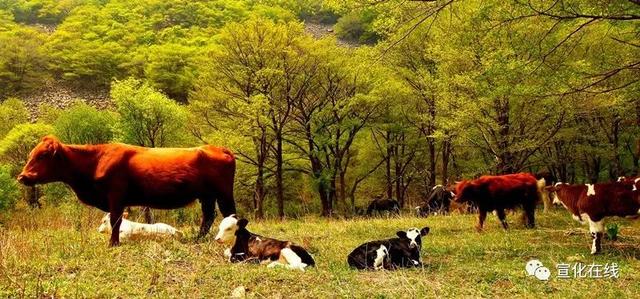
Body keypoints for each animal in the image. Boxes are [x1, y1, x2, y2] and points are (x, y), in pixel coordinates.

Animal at [18, 137, 238, 247]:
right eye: (30, 154)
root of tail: (219, 148)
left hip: (224, 193)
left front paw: (113, 243)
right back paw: (198, 239)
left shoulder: (116, 197)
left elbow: (116, 220)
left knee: (229, 215)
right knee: (208, 216)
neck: (96, 160)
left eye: (43, 155)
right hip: (207, 195)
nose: (22, 176)